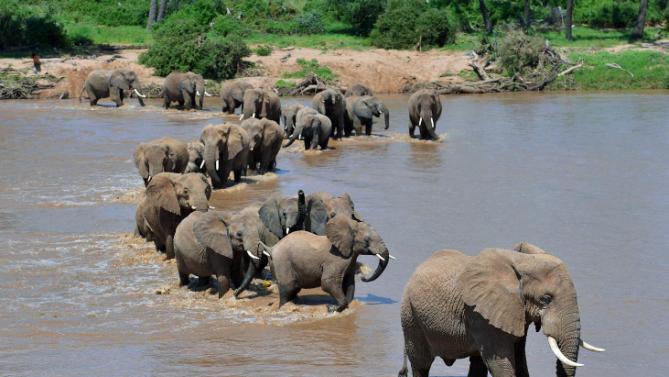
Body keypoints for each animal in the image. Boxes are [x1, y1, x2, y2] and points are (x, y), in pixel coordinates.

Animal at [260, 214, 388, 312]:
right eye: (367, 240)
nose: (363, 277)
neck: (350, 226)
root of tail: (271, 249)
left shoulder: (350, 258)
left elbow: (349, 282)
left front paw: (346, 305)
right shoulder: (336, 259)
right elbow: (328, 282)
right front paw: (332, 308)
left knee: (293, 289)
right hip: (282, 263)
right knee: (288, 288)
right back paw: (284, 308)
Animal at [400, 241, 604, 376]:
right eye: (546, 299)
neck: (522, 260)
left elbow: (520, 359)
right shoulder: (480, 315)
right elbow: (501, 363)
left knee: (477, 363)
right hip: (411, 316)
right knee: (420, 364)